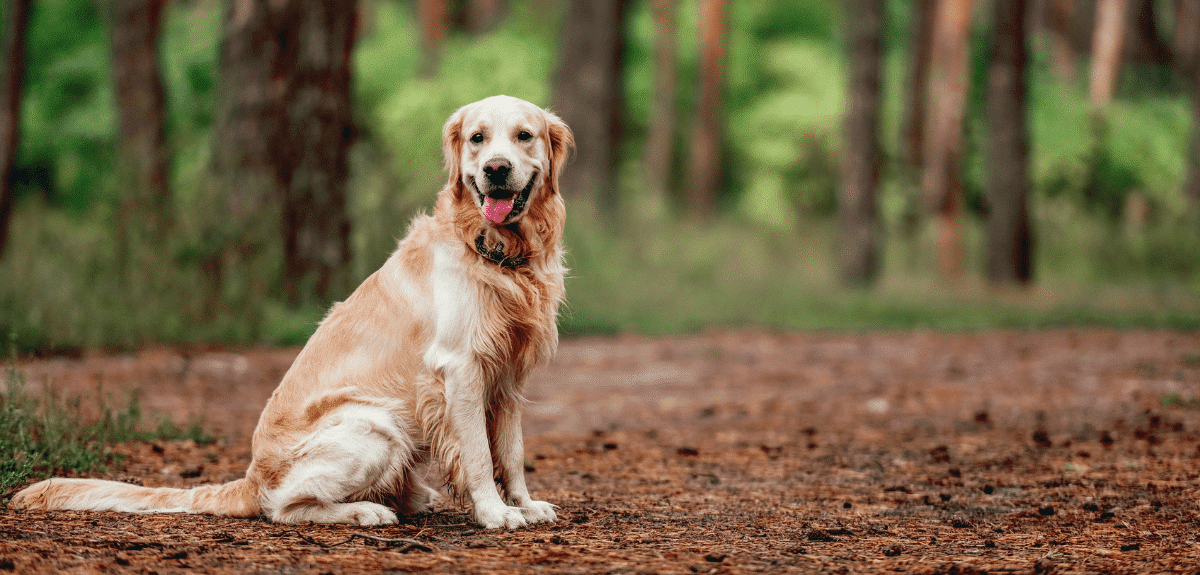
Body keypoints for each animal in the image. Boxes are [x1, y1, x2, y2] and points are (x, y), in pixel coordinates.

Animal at [14, 94, 576, 530]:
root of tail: (250, 477)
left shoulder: (508, 376)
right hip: (373, 425)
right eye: (478, 139)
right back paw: (363, 512)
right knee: (284, 506)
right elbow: (479, 455)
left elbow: (512, 453)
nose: (496, 170)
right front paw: (495, 513)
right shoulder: (460, 368)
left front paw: (525, 505)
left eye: (524, 136)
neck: (496, 253)